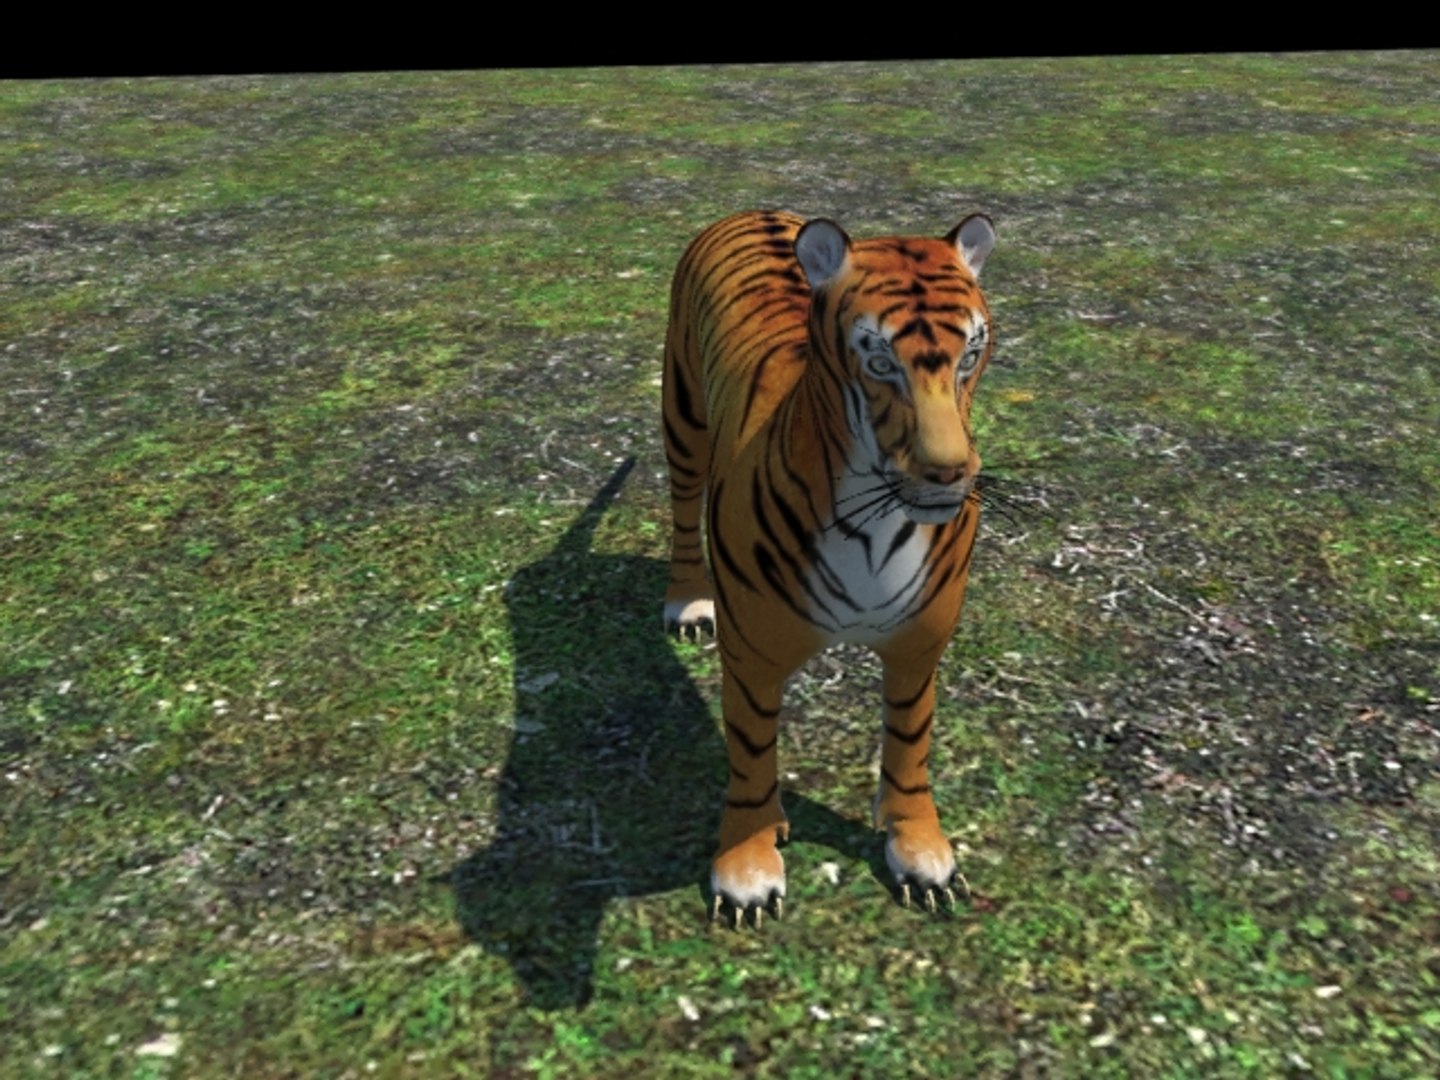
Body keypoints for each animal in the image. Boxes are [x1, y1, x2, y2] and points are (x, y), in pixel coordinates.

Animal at [661, 208, 998, 927]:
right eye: (879, 361)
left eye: (971, 356)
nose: (949, 474)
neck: (878, 521)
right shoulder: (752, 656)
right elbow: (751, 755)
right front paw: (746, 870)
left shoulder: (918, 647)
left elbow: (910, 745)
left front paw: (920, 851)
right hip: (683, 412)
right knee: (680, 502)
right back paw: (687, 603)